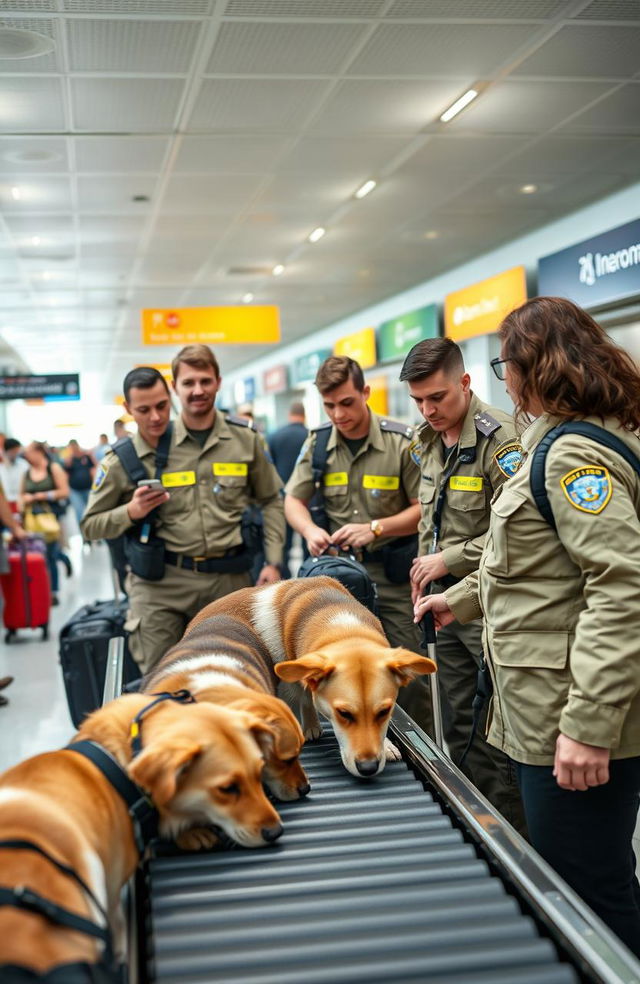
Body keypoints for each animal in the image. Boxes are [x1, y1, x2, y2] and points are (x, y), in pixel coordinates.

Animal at [188, 576, 438, 776]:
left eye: (384, 712)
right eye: (343, 714)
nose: (368, 768)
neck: (344, 631)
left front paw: (385, 745)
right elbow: (306, 698)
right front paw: (309, 726)